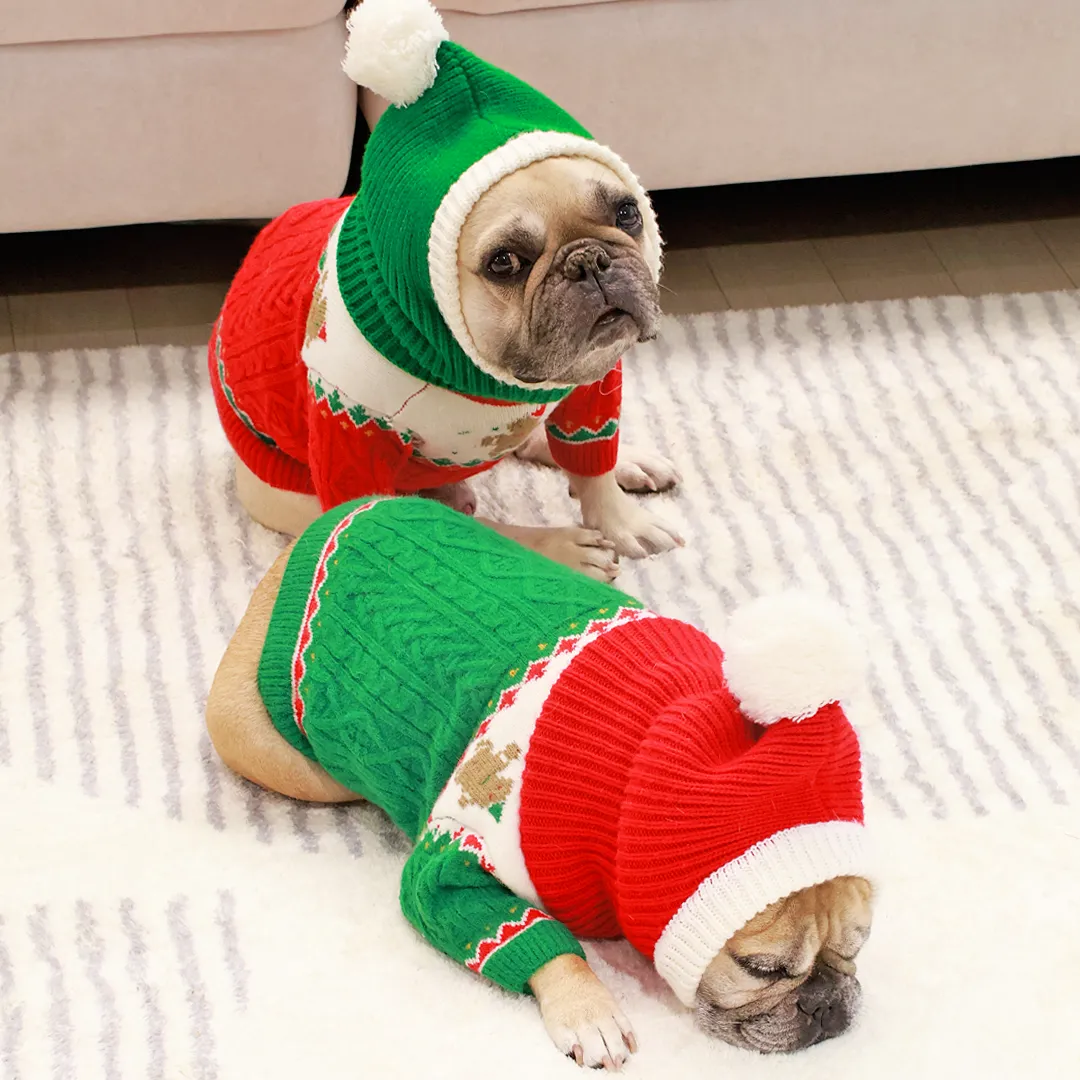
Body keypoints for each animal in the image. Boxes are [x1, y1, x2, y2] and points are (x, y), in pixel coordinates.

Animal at [208, 0, 682, 583]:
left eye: (627, 212)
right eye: (505, 262)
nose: (590, 260)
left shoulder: (594, 381)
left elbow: (592, 459)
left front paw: (621, 518)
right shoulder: (350, 433)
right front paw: (571, 546)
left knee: (540, 443)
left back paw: (627, 461)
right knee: (460, 519)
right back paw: (554, 544)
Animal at [208, 494, 876, 1062]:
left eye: (857, 947)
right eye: (760, 969)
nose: (825, 1004)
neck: (642, 768)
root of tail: (299, 552)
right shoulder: (457, 858)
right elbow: (529, 936)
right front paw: (590, 1010)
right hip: (294, 759)